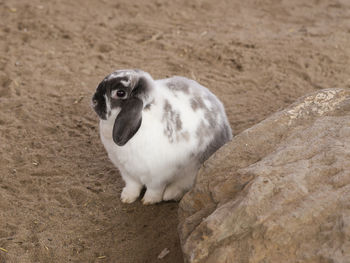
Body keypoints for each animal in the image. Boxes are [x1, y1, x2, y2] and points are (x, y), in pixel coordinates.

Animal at [92, 69, 232, 205]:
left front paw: (149, 201)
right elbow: (133, 185)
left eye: (120, 93)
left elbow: (154, 189)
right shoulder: (126, 171)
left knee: (183, 184)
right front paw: (127, 198)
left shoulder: (158, 176)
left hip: (192, 170)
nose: (94, 100)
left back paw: (170, 194)